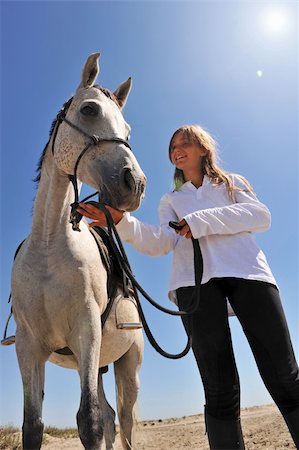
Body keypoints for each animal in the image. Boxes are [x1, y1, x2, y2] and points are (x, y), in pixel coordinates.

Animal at [11, 53, 147, 450]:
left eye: (127, 131)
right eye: (89, 110)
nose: (135, 184)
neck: (49, 245)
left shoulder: (86, 333)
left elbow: (89, 421)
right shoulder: (28, 348)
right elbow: (33, 426)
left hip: (127, 364)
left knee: (124, 422)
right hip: (99, 365)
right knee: (113, 419)